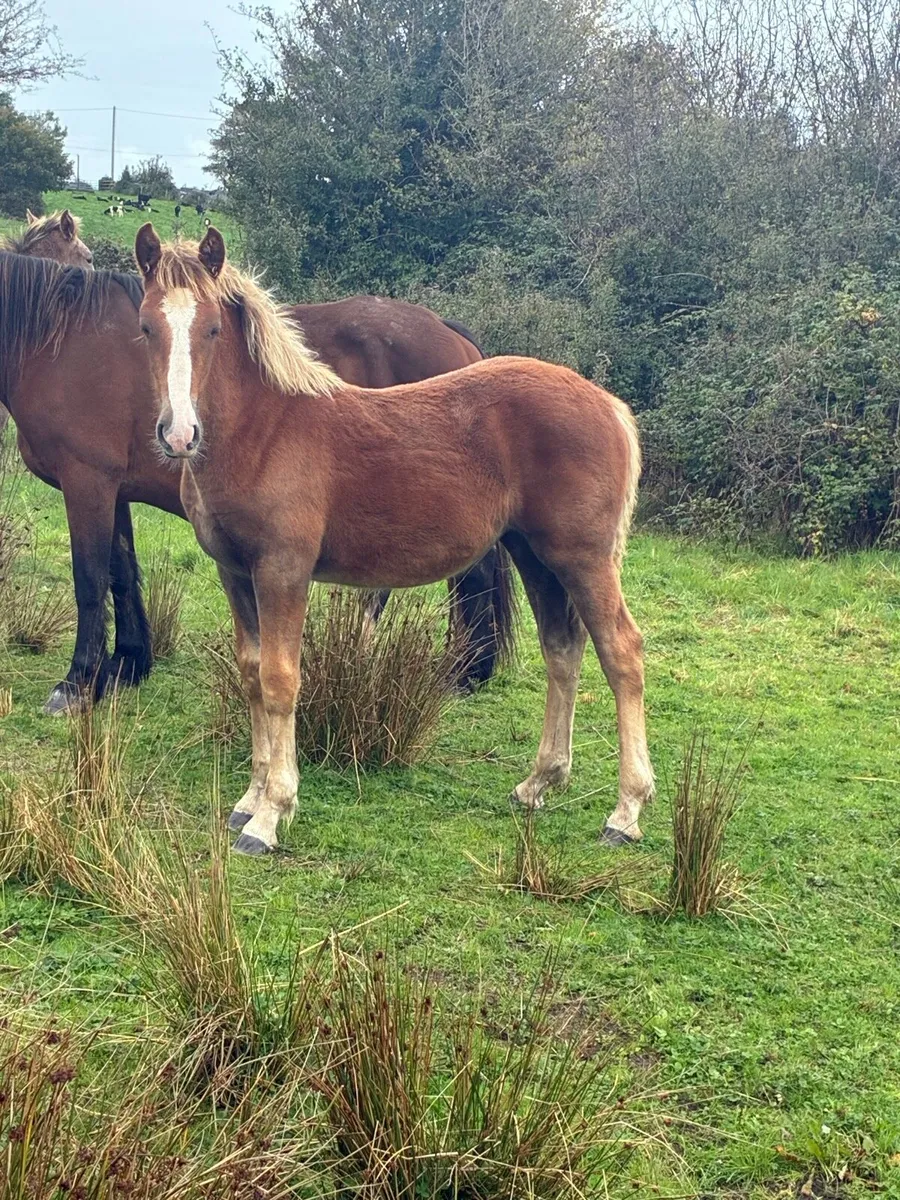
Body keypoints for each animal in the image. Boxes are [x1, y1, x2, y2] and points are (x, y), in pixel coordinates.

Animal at [0, 250, 513, 715]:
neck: (64, 339)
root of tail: (453, 335)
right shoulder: (113, 490)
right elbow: (121, 572)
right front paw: (127, 665)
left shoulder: (86, 482)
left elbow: (89, 579)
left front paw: (77, 683)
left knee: (472, 576)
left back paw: (462, 672)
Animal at [135, 224, 654, 855]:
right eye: (146, 327)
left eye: (211, 328)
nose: (179, 435)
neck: (266, 431)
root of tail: (608, 404)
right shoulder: (235, 573)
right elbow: (252, 674)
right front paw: (250, 800)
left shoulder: (283, 570)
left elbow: (281, 681)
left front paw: (271, 815)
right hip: (535, 555)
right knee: (562, 648)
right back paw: (537, 783)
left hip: (584, 558)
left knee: (622, 653)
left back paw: (625, 812)